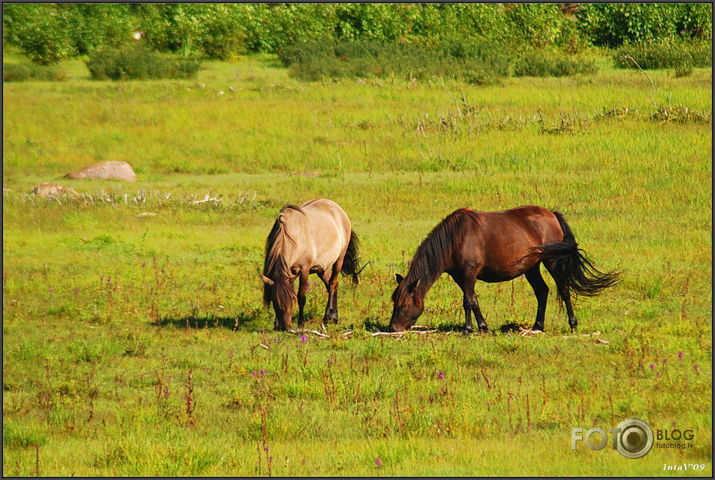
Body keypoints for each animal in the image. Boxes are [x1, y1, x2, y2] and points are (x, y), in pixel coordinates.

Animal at [260, 199, 360, 330]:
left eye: (292, 299)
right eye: (274, 301)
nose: (285, 327)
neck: (293, 237)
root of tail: (340, 210)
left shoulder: (304, 269)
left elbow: (302, 297)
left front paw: (301, 324)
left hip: (339, 259)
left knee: (333, 283)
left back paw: (327, 318)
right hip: (321, 268)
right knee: (331, 285)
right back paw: (334, 317)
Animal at [388, 206, 620, 334]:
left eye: (404, 303)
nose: (393, 329)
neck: (456, 238)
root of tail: (552, 215)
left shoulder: (469, 273)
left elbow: (467, 301)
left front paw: (467, 330)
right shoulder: (461, 277)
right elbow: (473, 300)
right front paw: (483, 327)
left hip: (552, 261)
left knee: (563, 289)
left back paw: (572, 324)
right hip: (532, 267)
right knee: (542, 291)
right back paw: (537, 326)